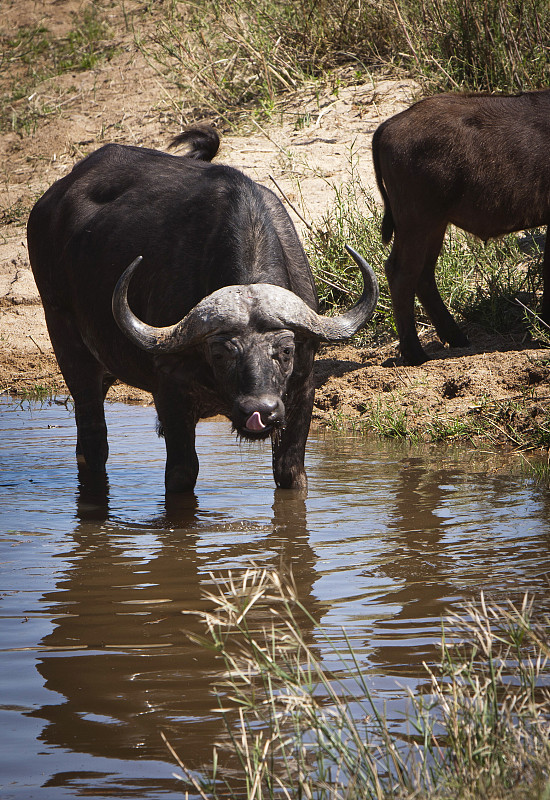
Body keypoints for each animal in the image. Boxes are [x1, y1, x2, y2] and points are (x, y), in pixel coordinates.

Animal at [27, 127, 380, 494]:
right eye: (221, 353)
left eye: (285, 350)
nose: (261, 411)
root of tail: (49, 201)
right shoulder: (170, 393)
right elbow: (182, 473)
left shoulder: (302, 390)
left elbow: (290, 471)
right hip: (67, 342)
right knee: (93, 437)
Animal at [374, 88, 550, 366]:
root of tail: (392, 123)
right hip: (417, 224)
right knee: (401, 274)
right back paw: (415, 354)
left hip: (434, 225)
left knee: (423, 275)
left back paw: (455, 337)